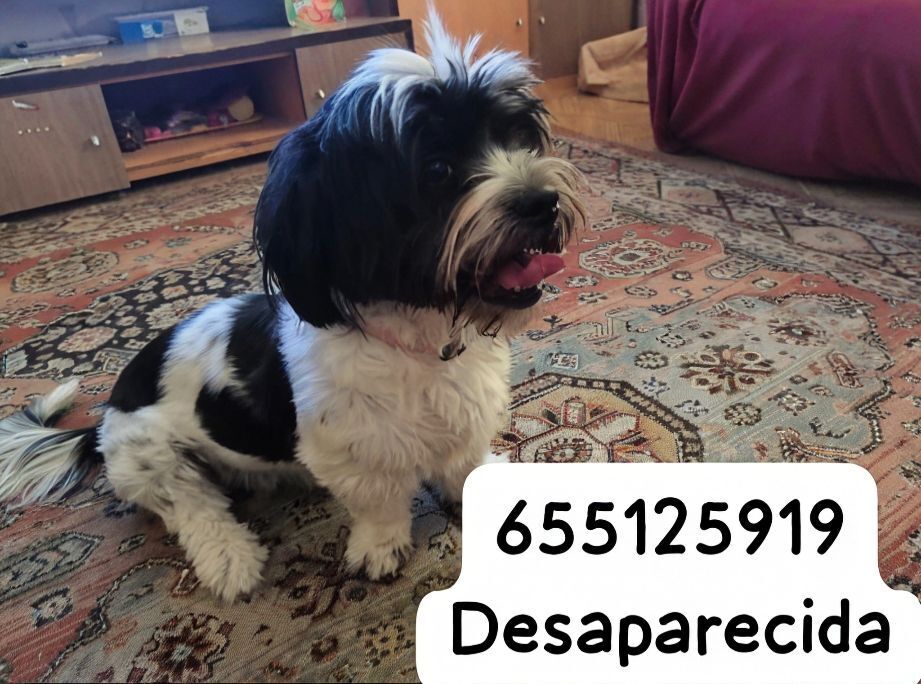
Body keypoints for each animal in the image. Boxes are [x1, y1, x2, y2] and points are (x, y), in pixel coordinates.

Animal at [0, 15, 585, 601]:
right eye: (438, 169)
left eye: (517, 139)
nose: (541, 200)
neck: (421, 338)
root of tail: (103, 419)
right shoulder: (350, 453)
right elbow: (380, 504)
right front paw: (380, 547)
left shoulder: (466, 417)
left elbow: (463, 464)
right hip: (148, 455)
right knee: (189, 504)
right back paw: (229, 558)